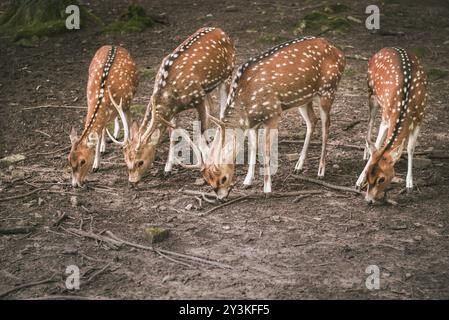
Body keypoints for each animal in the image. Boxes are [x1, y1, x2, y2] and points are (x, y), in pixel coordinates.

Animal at [68, 43, 137, 186]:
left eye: (82, 161)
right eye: (68, 160)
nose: (75, 185)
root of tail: (114, 45)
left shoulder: (126, 105)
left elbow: (129, 128)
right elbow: (98, 136)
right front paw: (96, 165)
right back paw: (105, 144)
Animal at [122, 26, 234, 185]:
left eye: (140, 162)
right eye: (126, 162)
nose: (132, 181)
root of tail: (220, 30)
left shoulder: (197, 97)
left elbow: (200, 132)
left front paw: (206, 164)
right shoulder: (173, 110)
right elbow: (173, 135)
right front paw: (167, 169)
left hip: (227, 75)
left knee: (222, 110)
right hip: (207, 89)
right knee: (212, 109)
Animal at [184, 37, 344, 200]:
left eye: (223, 178)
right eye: (208, 181)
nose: (221, 198)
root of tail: (338, 52)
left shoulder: (273, 114)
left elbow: (265, 150)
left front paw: (267, 189)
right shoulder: (252, 123)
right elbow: (253, 147)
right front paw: (247, 182)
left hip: (328, 90)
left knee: (326, 126)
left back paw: (320, 171)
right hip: (304, 100)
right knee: (312, 120)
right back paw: (298, 166)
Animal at [354, 47, 428, 202]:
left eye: (381, 179)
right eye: (368, 174)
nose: (368, 200)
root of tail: (386, 48)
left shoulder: (420, 117)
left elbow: (410, 148)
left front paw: (409, 184)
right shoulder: (386, 117)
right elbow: (378, 145)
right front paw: (358, 181)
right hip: (371, 93)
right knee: (370, 122)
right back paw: (365, 152)